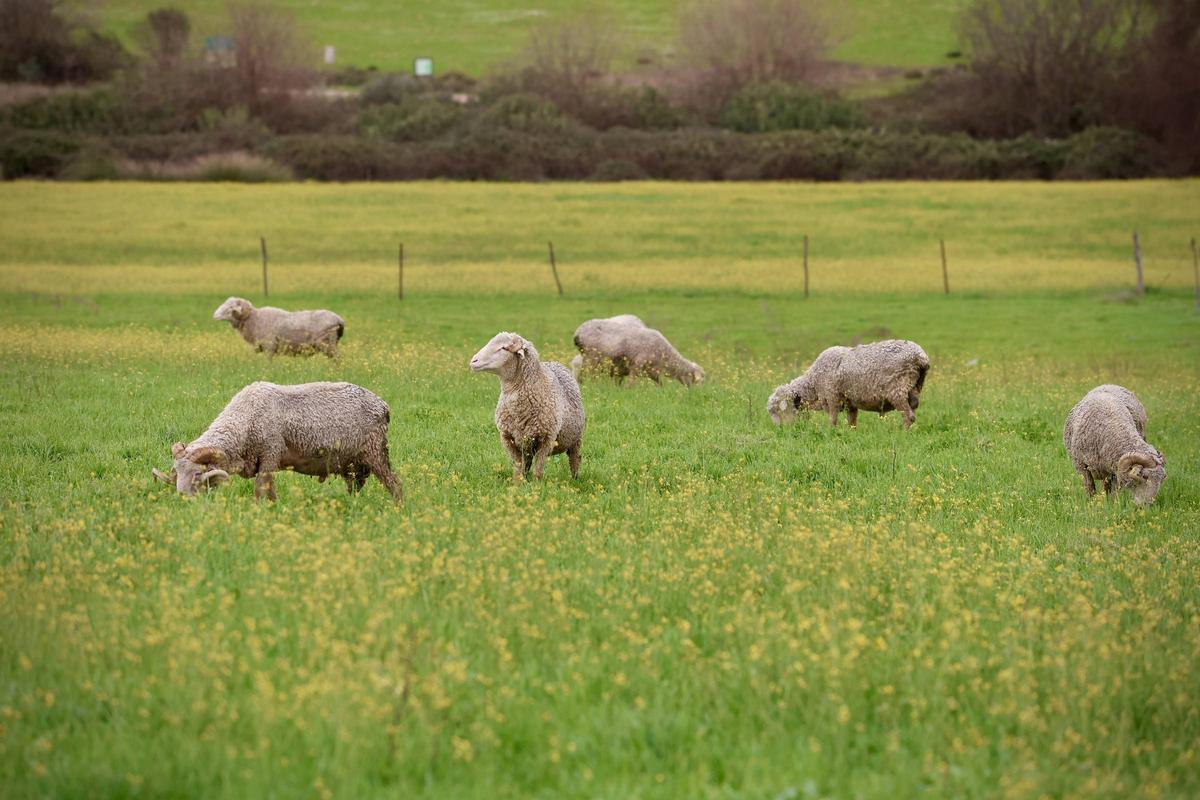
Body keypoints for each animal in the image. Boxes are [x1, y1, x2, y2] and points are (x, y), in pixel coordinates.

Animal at [152, 381, 402, 503]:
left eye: (196, 474)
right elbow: (270, 490)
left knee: (394, 483)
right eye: (176, 473)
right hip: (351, 464)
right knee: (356, 487)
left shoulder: (270, 454)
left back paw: (398, 509)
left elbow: (260, 488)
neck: (245, 419)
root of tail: (383, 405)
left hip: (375, 451)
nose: (182, 498)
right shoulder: (268, 462)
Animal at [213, 297, 345, 357]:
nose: (214, 315)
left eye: (231, 307)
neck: (254, 319)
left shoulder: (269, 347)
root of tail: (339, 319)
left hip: (327, 343)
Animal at [470, 332, 584, 481]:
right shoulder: (509, 439)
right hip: (527, 444)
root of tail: (554, 362)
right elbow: (518, 468)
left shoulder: (546, 440)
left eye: (504, 348)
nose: (473, 361)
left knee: (575, 459)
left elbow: (538, 471)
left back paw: (575, 479)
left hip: (576, 439)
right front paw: (517, 484)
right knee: (527, 463)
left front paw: (536, 485)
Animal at [572, 315, 704, 386]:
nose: (694, 393)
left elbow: (660, 384)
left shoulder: (652, 371)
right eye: (698, 381)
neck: (665, 354)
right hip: (591, 359)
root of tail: (578, 332)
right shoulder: (637, 364)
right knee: (584, 377)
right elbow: (631, 383)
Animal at [768, 339, 930, 428]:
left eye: (777, 411)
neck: (813, 382)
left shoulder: (832, 396)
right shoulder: (850, 403)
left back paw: (900, 433)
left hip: (897, 388)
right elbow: (852, 422)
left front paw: (830, 433)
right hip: (915, 387)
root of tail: (921, 357)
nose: (780, 430)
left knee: (909, 416)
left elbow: (832, 420)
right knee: (913, 409)